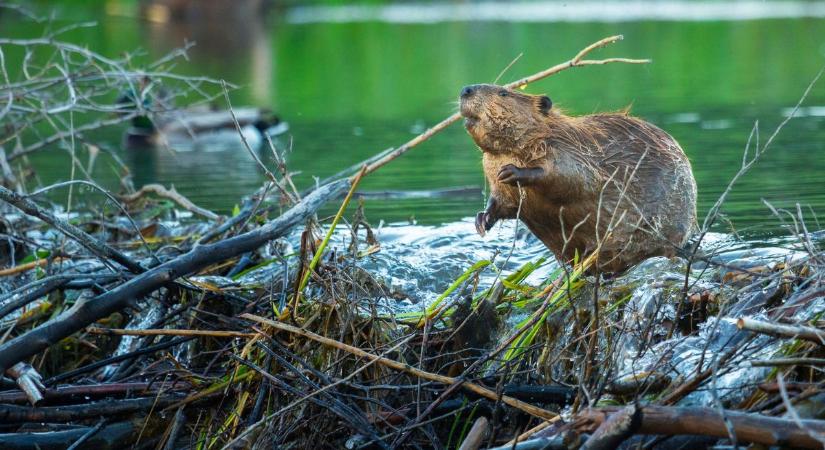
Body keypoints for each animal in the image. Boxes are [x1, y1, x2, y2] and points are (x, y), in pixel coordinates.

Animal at [460, 85, 700, 274]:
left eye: (503, 93)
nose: (466, 90)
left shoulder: (568, 149)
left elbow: (572, 178)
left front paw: (512, 172)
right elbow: (502, 202)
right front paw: (482, 220)